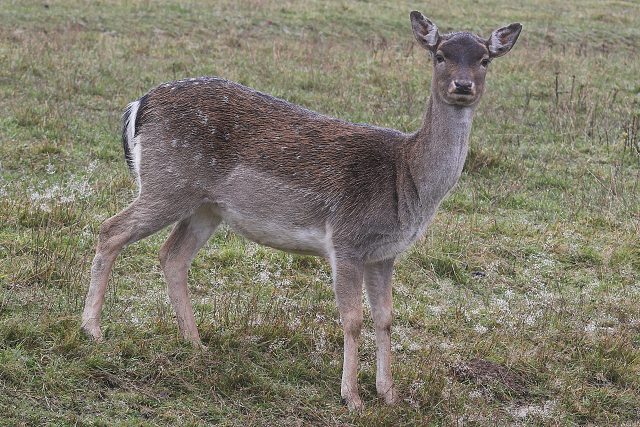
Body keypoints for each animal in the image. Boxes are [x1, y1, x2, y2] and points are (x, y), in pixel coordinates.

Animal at [81, 11, 521, 410]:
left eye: (484, 59)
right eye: (439, 55)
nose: (462, 85)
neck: (406, 180)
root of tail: (139, 104)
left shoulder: (385, 253)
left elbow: (385, 317)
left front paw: (390, 394)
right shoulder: (346, 239)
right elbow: (352, 318)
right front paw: (352, 398)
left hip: (206, 205)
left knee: (172, 255)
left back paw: (196, 342)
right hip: (168, 182)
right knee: (111, 229)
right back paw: (93, 329)